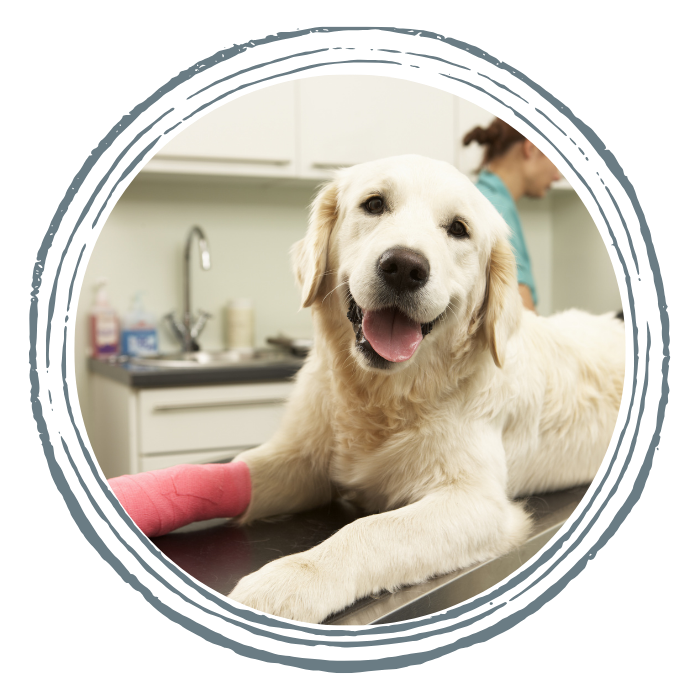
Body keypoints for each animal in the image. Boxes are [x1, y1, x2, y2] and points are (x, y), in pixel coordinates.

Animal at [226, 153, 636, 624]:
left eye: (458, 228)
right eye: (374, 204)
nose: (404, 267)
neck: (385, 395)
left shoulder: (476, 502)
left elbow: (371, 529)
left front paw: (289, 580)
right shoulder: (301, 458)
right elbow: (242, 471)